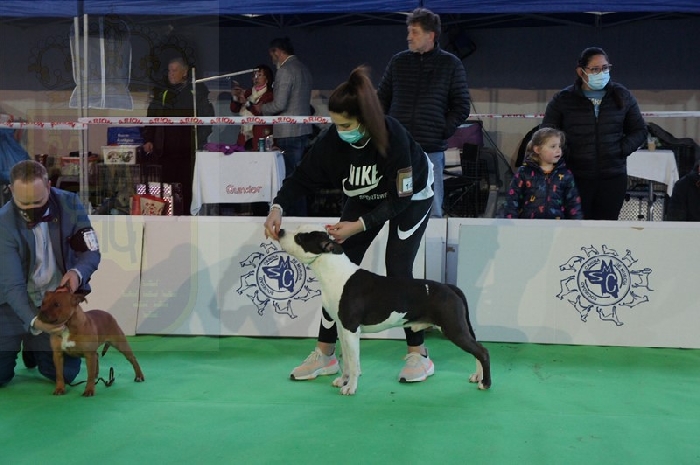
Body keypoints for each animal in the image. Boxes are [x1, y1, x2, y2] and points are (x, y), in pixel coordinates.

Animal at [277, 225, 491, 396]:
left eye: (300, 237)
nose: (280, 230)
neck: (333, 271)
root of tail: (449, 287)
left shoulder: (351, 329)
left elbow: (354, 363)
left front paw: (350, 387)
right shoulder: (342, 328)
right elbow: (347, 361)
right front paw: (343, 381)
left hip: (453, 328)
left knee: (482, 351)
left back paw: (485, 383)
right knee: (477, 349)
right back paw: (477, 376)